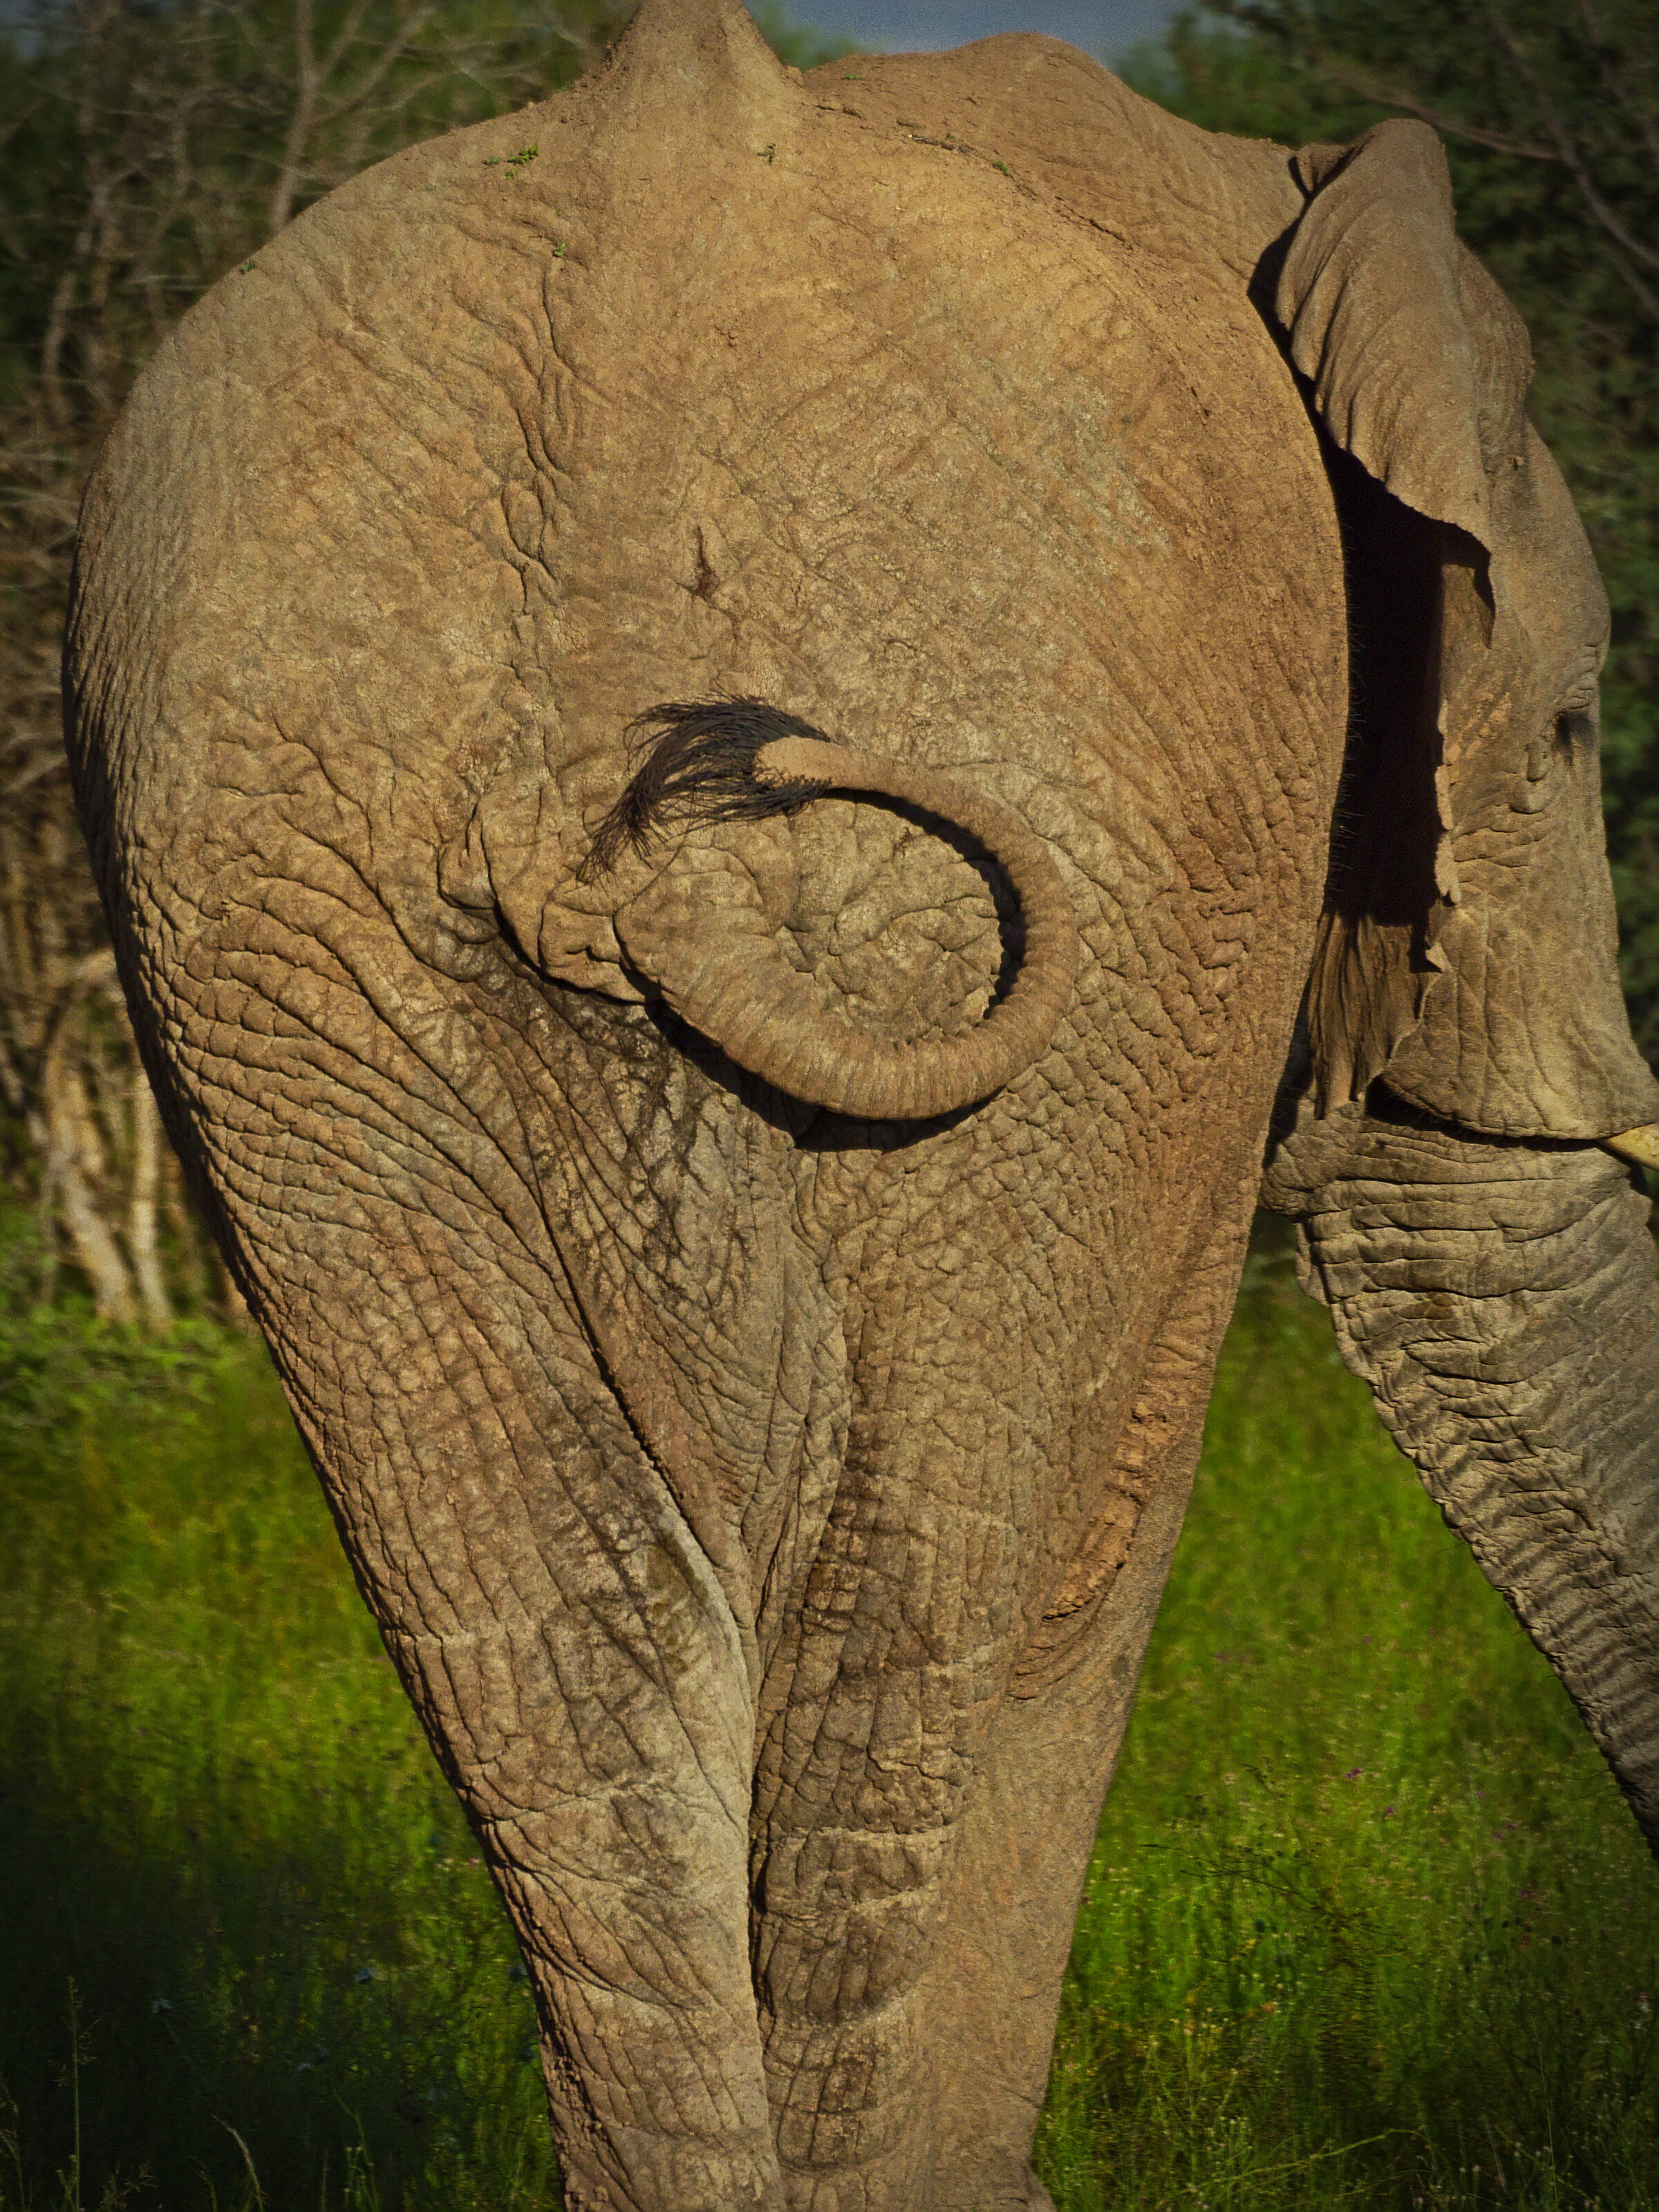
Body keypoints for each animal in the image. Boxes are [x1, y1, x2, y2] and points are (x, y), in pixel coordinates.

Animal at [63, 1, 1659, 2205]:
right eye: (1578, 728)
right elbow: (1096, 1550)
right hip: (1039, 873)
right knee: (941, 1601)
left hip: (268, 917)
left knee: (561, 1648)